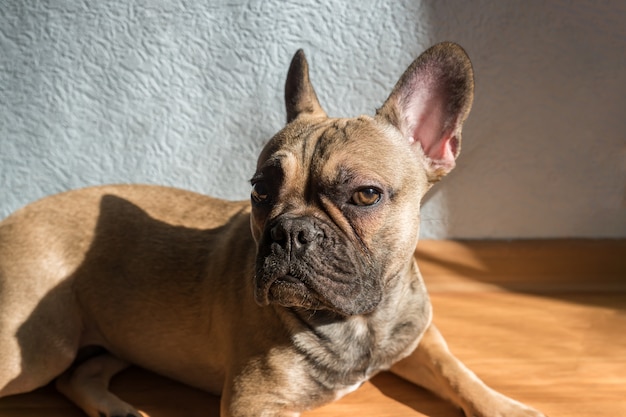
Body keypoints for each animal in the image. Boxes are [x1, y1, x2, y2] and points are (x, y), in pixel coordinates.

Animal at [0, 43, 544, 416]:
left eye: (366, 195)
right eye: (260, 189)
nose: (289, 232)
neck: (358, 322)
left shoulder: (418, 337)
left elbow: (456, 369)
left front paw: (505, 405)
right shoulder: (253, 402)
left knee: (81, 374)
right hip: (39, 350)